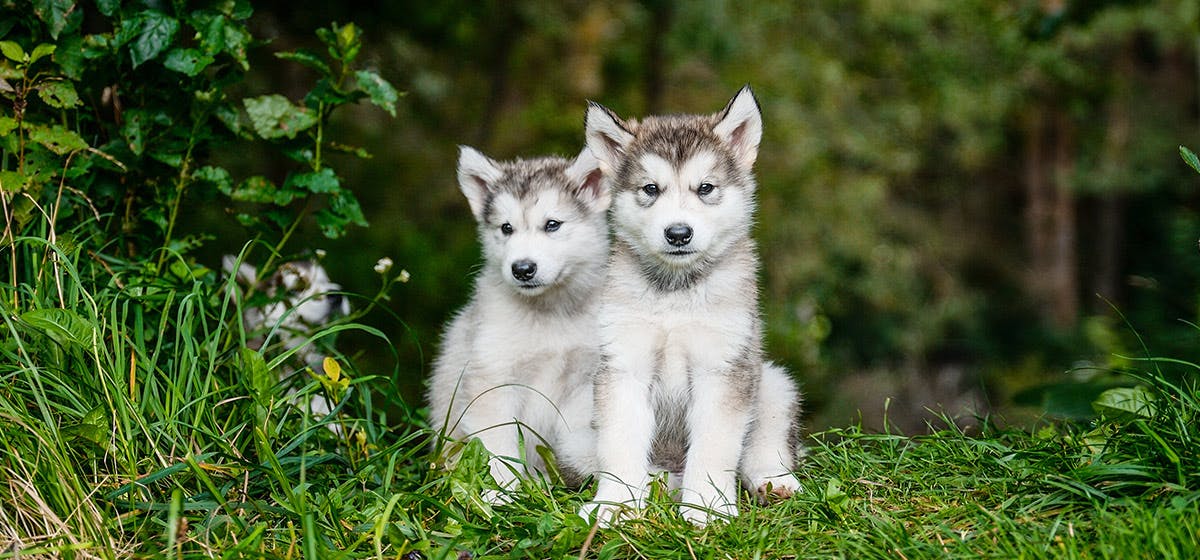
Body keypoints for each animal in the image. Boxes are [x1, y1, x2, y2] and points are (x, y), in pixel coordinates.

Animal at [429, 145, 609, 498]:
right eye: (506, 228)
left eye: (552, 225)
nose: (522, 269)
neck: (551, 313)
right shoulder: (493, 376)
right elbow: (499, 443)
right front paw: (502, 491)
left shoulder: (586, 378)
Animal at [583, 86, 806, 525]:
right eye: (650, 189)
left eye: (705, 188)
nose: (678, 233)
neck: (676, 293)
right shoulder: (623, 365)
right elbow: (619, 443)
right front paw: (615, 505)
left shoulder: (722, 367)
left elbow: (716, 446)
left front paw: (705, 508)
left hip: (773, 383)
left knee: (764, 443)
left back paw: (774, 481)